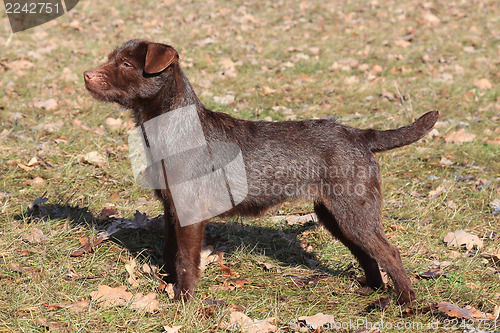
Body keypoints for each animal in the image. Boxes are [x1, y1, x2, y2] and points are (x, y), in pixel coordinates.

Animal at [84, 39, 440, 304]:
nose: (86, 75)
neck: (170, 128)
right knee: (366, 252)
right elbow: (170, 251)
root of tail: (361, 135)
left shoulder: (191, 212)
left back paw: (405, 302)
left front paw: (184, 300)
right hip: (335, 215)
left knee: (389, 252)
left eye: (126, 64)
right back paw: (373, 288)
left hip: (354, 211)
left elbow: (185, 258)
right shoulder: (172, 208)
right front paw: (168, 285)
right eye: (111, 58)